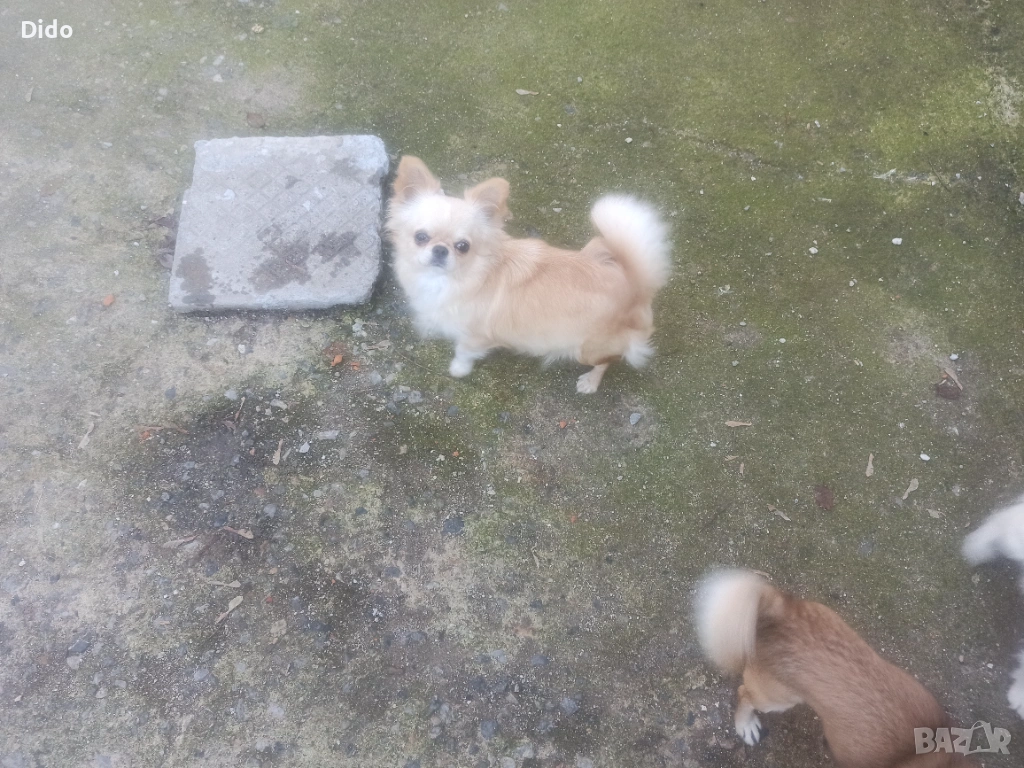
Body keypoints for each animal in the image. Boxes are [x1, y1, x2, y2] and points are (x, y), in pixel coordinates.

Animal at [385, 156, 671, 393]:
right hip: (597, 249)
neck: (454, 280)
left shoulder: (475, 337)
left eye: (463, 246)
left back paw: (590, 381)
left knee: (609, 359)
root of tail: (635, 285)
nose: (440, 250)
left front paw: (458, 369)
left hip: (586, 348)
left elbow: (463, 352)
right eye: (421, 237)